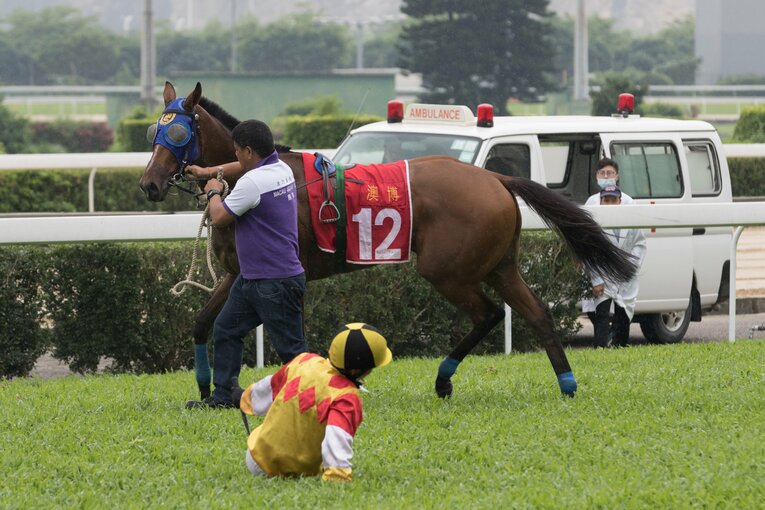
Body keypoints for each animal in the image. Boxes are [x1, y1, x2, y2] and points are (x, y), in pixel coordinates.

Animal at [139, 81, 637, 400]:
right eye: (153, 131)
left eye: (179, 132)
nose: (149, 183)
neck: (247, 173)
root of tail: (495, 177)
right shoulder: (239, 273)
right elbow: (204, 323)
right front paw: (206, 387)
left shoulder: (268, 274)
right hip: (501, 265)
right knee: (535, 313)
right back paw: (565, 384)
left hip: (448, 270)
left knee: (489, 314)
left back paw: (444, 379)